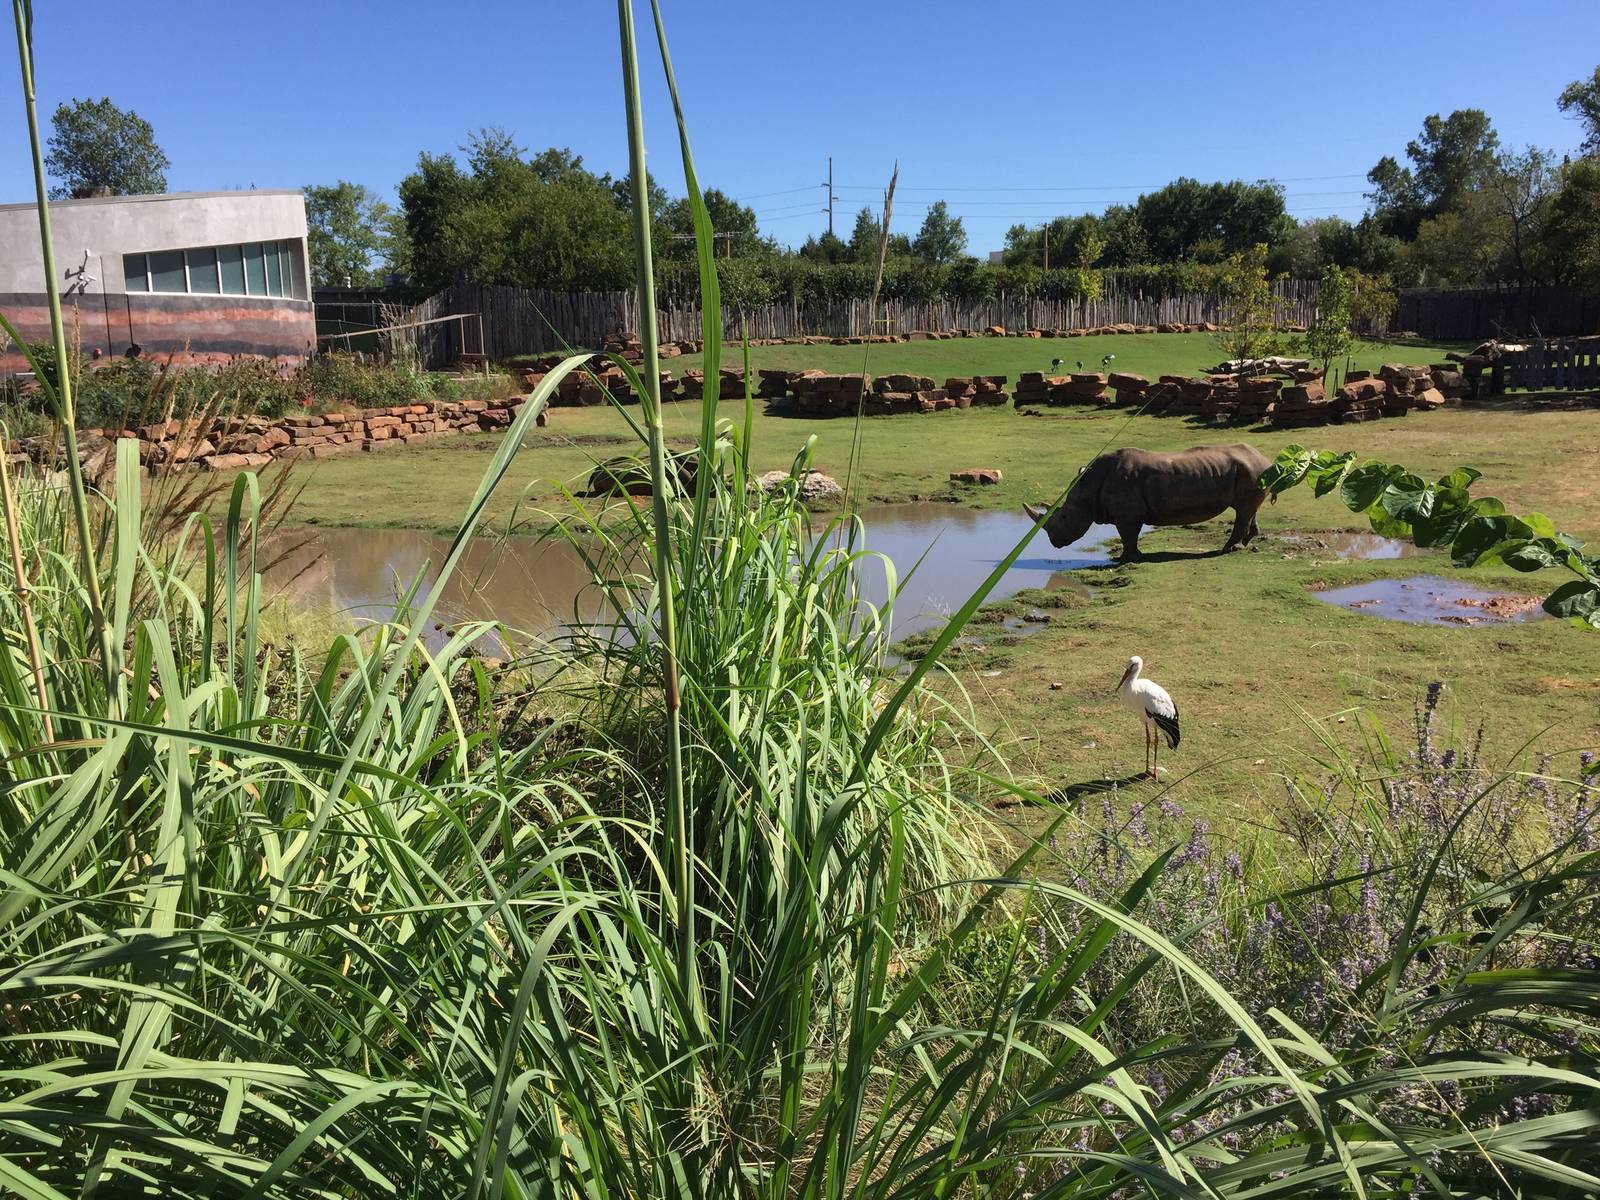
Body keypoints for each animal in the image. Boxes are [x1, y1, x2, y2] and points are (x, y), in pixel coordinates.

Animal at [1023, 443, 1271, 561]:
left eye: (1064, 516)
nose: (1055, 542)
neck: (1089, 487)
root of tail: (1263, 457)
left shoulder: (1128, 515)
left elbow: (1128, 535)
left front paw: (1124, 560)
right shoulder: (1128, 513)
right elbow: (1128, 535)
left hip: (1251, 470)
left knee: (1243, 510)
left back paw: (1228, 549)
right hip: (1252, 471)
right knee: (1247, 509)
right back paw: (1245, 544)